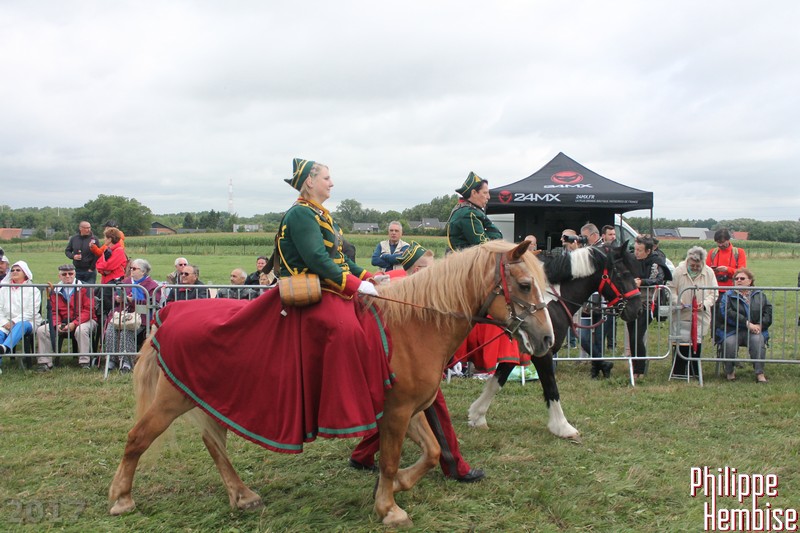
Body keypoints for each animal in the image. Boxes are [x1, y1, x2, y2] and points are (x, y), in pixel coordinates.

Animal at [108, 240, 554, 528]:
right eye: (525, 285)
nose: (548, 339)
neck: (415, 323)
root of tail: (168, 315)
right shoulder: (396, 412)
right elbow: (392, 458)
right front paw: (389, 507)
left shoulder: (408, 408)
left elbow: (429, 452)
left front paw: (400, 485)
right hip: (171, 399)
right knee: (137, 438)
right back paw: (121, 499)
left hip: (210, 397)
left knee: (214, 442)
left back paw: (242, 495)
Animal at [467, 243, 643, 438]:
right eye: (623, 274)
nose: (637, 308)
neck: (551, 303)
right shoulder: (542, 352)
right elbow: (551, 387)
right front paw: (562, 427)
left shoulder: (517, 354)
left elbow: (496, 383)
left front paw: (477, 416)